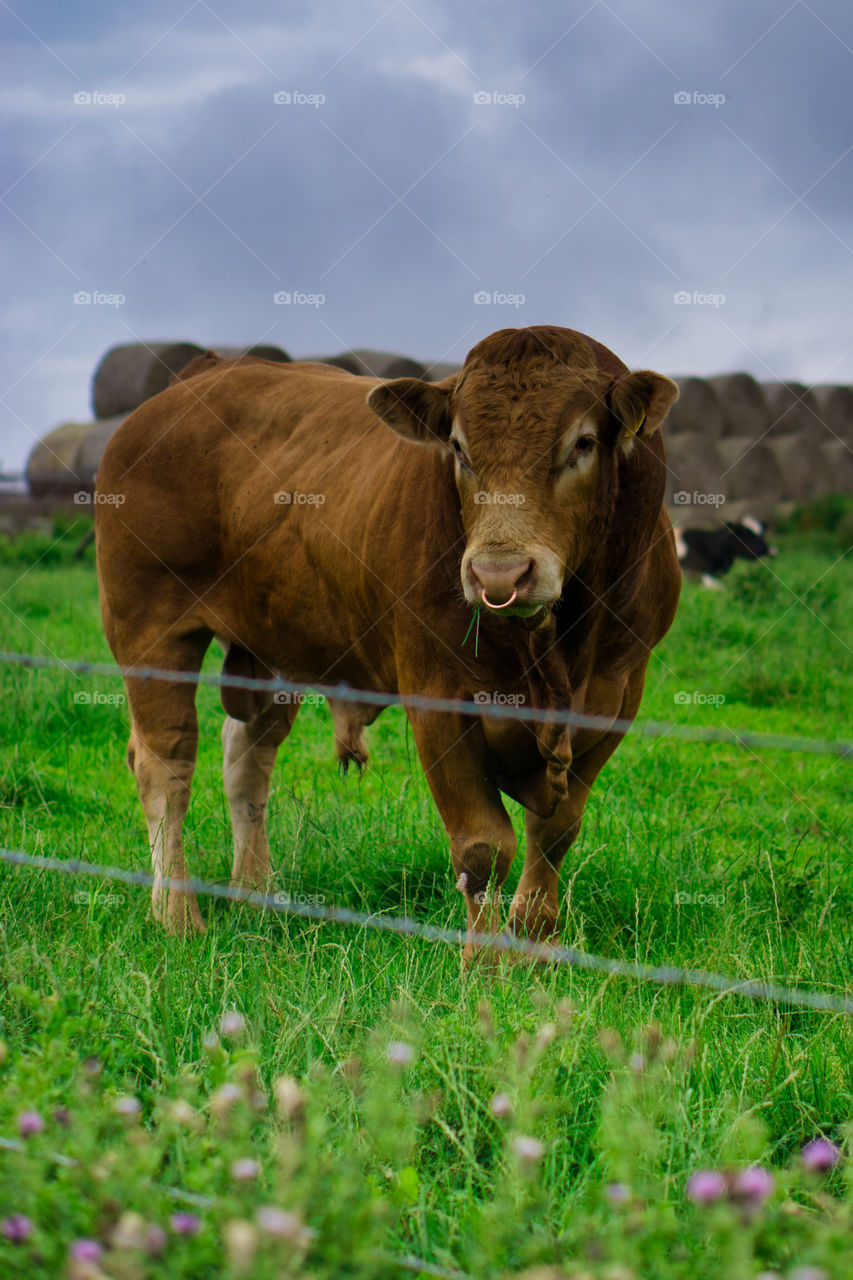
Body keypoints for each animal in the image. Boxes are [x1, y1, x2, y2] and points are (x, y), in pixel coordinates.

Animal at [94, 326, 681, 957]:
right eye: (458, 448)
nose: (499, 575)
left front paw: (535, 947)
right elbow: (482, 847)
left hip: (274, 645)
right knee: (166, 765)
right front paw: (484, 965)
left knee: (247, 756)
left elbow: (555, 832)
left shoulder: (615, 698)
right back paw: (178, 915)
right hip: (151, 631)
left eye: (584, 443)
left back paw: (258, 895)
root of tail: (202, 373)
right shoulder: (438, 699)